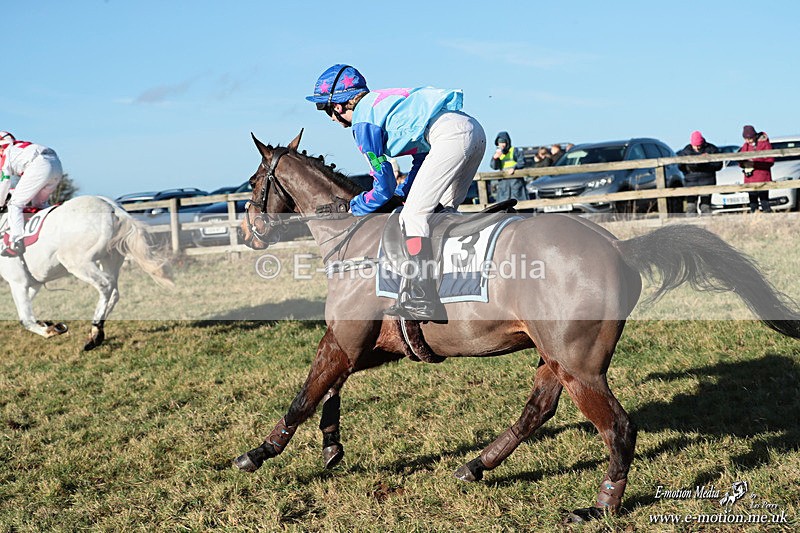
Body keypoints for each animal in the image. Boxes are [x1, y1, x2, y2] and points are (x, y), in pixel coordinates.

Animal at [0, 195, 174, 351]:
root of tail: (113, 209)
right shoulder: (35, 284)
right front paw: (48, 324)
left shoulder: (18, 283)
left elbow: (25, 319)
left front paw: (51, 330)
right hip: (110, 258)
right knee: (114, 292)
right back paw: (95, 332)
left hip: (77, 262)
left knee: (105, 285)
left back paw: (96, 330)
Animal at [232, 130, 800, 523]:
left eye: (254, 185)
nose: (248, 234)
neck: (354, 238)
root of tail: (618, 247)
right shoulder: (368, 343)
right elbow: (330, 388)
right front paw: (330, 446)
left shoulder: (347, 340)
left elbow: (306, 394)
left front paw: (260, 453)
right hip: (556, 355)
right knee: (538, 411)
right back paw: (476, 464)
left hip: (578, 364)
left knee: (617, 427)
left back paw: (599, 507)